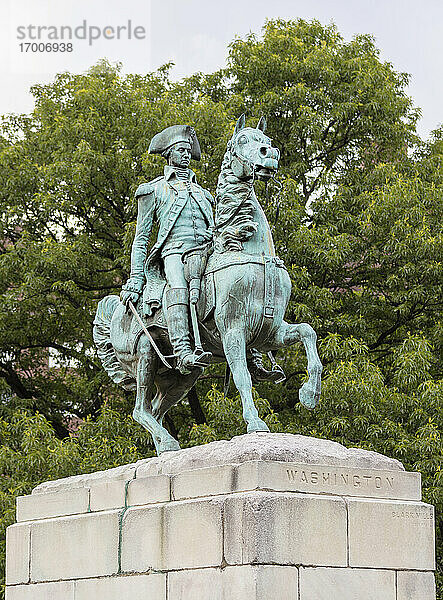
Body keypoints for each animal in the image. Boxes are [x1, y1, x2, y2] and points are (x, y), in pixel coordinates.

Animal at [93, 115, 322, 454]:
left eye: (266, 139)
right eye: (242, 141)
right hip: (146, 353)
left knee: (156, 410)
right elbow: (241, 376)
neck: (248, 250)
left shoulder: (271, 331)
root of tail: (117, 312)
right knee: (140, 409)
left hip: (181, 377)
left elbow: (308, 333)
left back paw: (165, 448)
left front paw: (308, 395)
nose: (270, 154)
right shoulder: (232, 331)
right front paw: (255, 422)